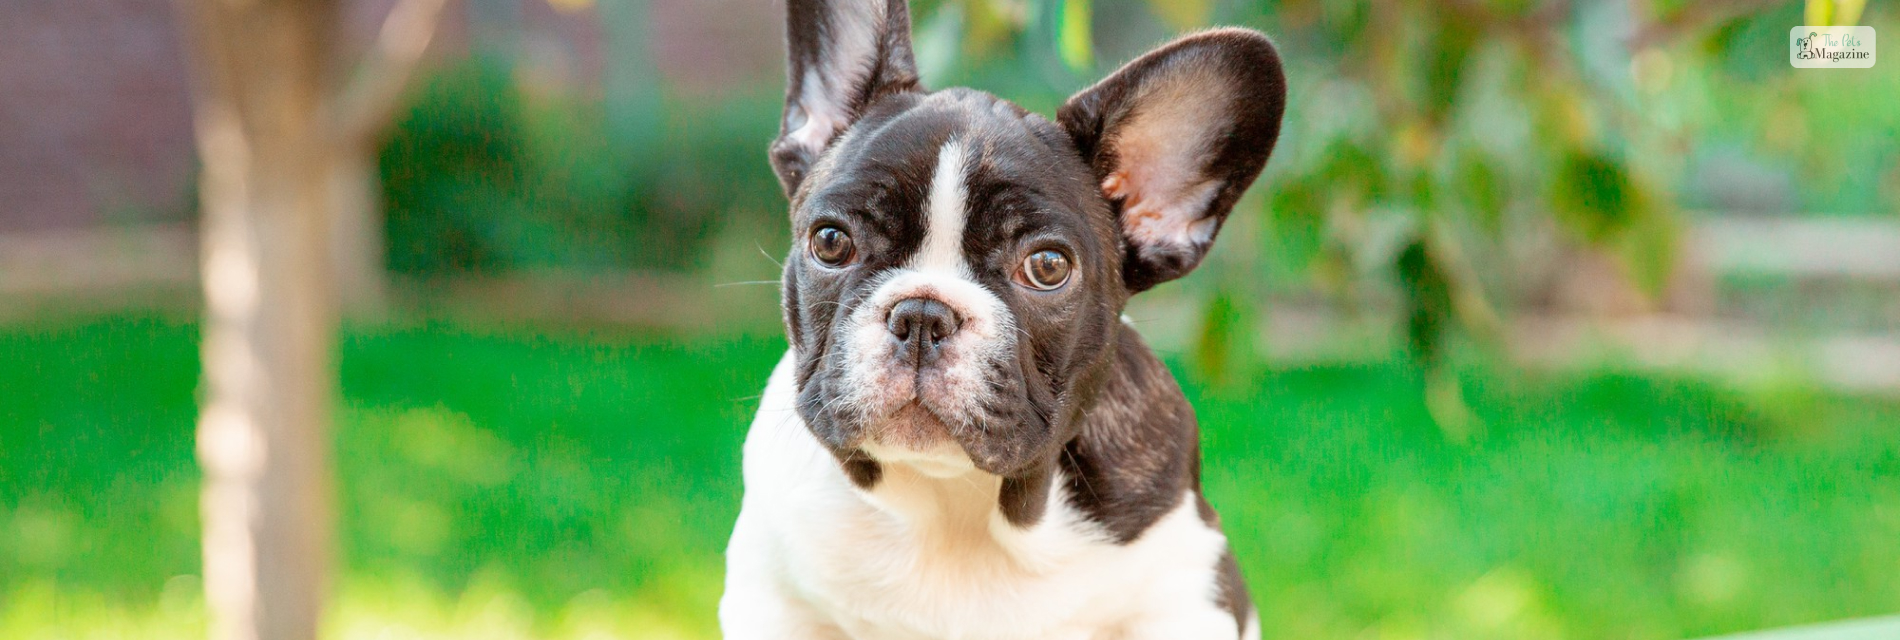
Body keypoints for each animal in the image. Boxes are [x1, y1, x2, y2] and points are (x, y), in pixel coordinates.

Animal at [718, 0, 1284, 634]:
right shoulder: (774, 599)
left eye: (1047, 266)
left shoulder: (1183, 591)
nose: (923, 315)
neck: (952, 498)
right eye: (831, 242)